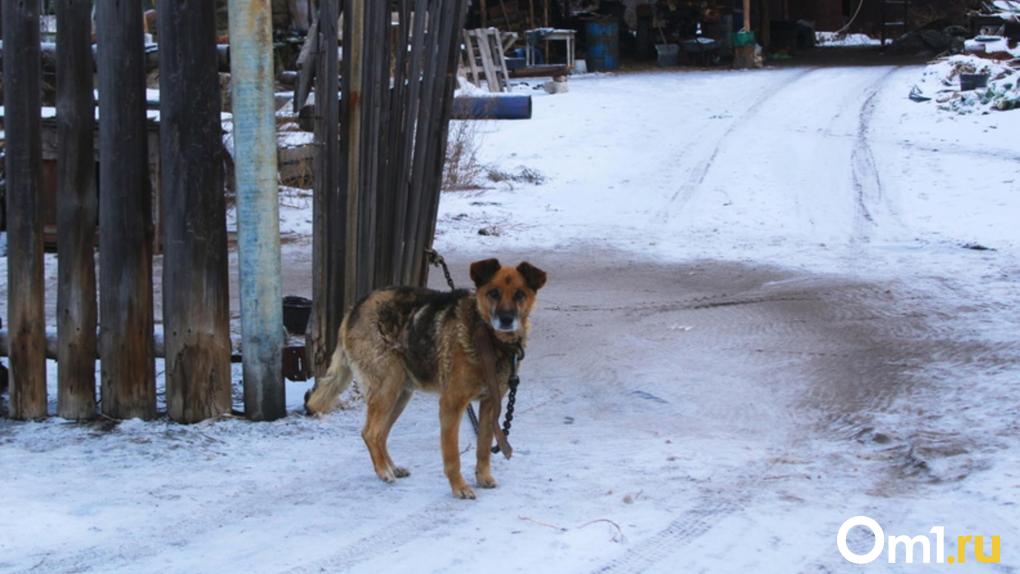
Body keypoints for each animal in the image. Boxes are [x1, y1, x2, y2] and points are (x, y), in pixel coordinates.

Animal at [301, 257, 546, 501]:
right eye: (493, 293)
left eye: (519, 294)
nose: (506, 320)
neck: (489, 339)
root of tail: (355, 307)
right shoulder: (452, 404)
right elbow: (452, 454)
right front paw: (459, 487)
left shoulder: (490, 405)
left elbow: (484, 446)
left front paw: (483, 477)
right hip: (387, 387)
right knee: (370, 432)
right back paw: (383, 471)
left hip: (400, 393)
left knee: (380, 434)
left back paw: (391, 467)